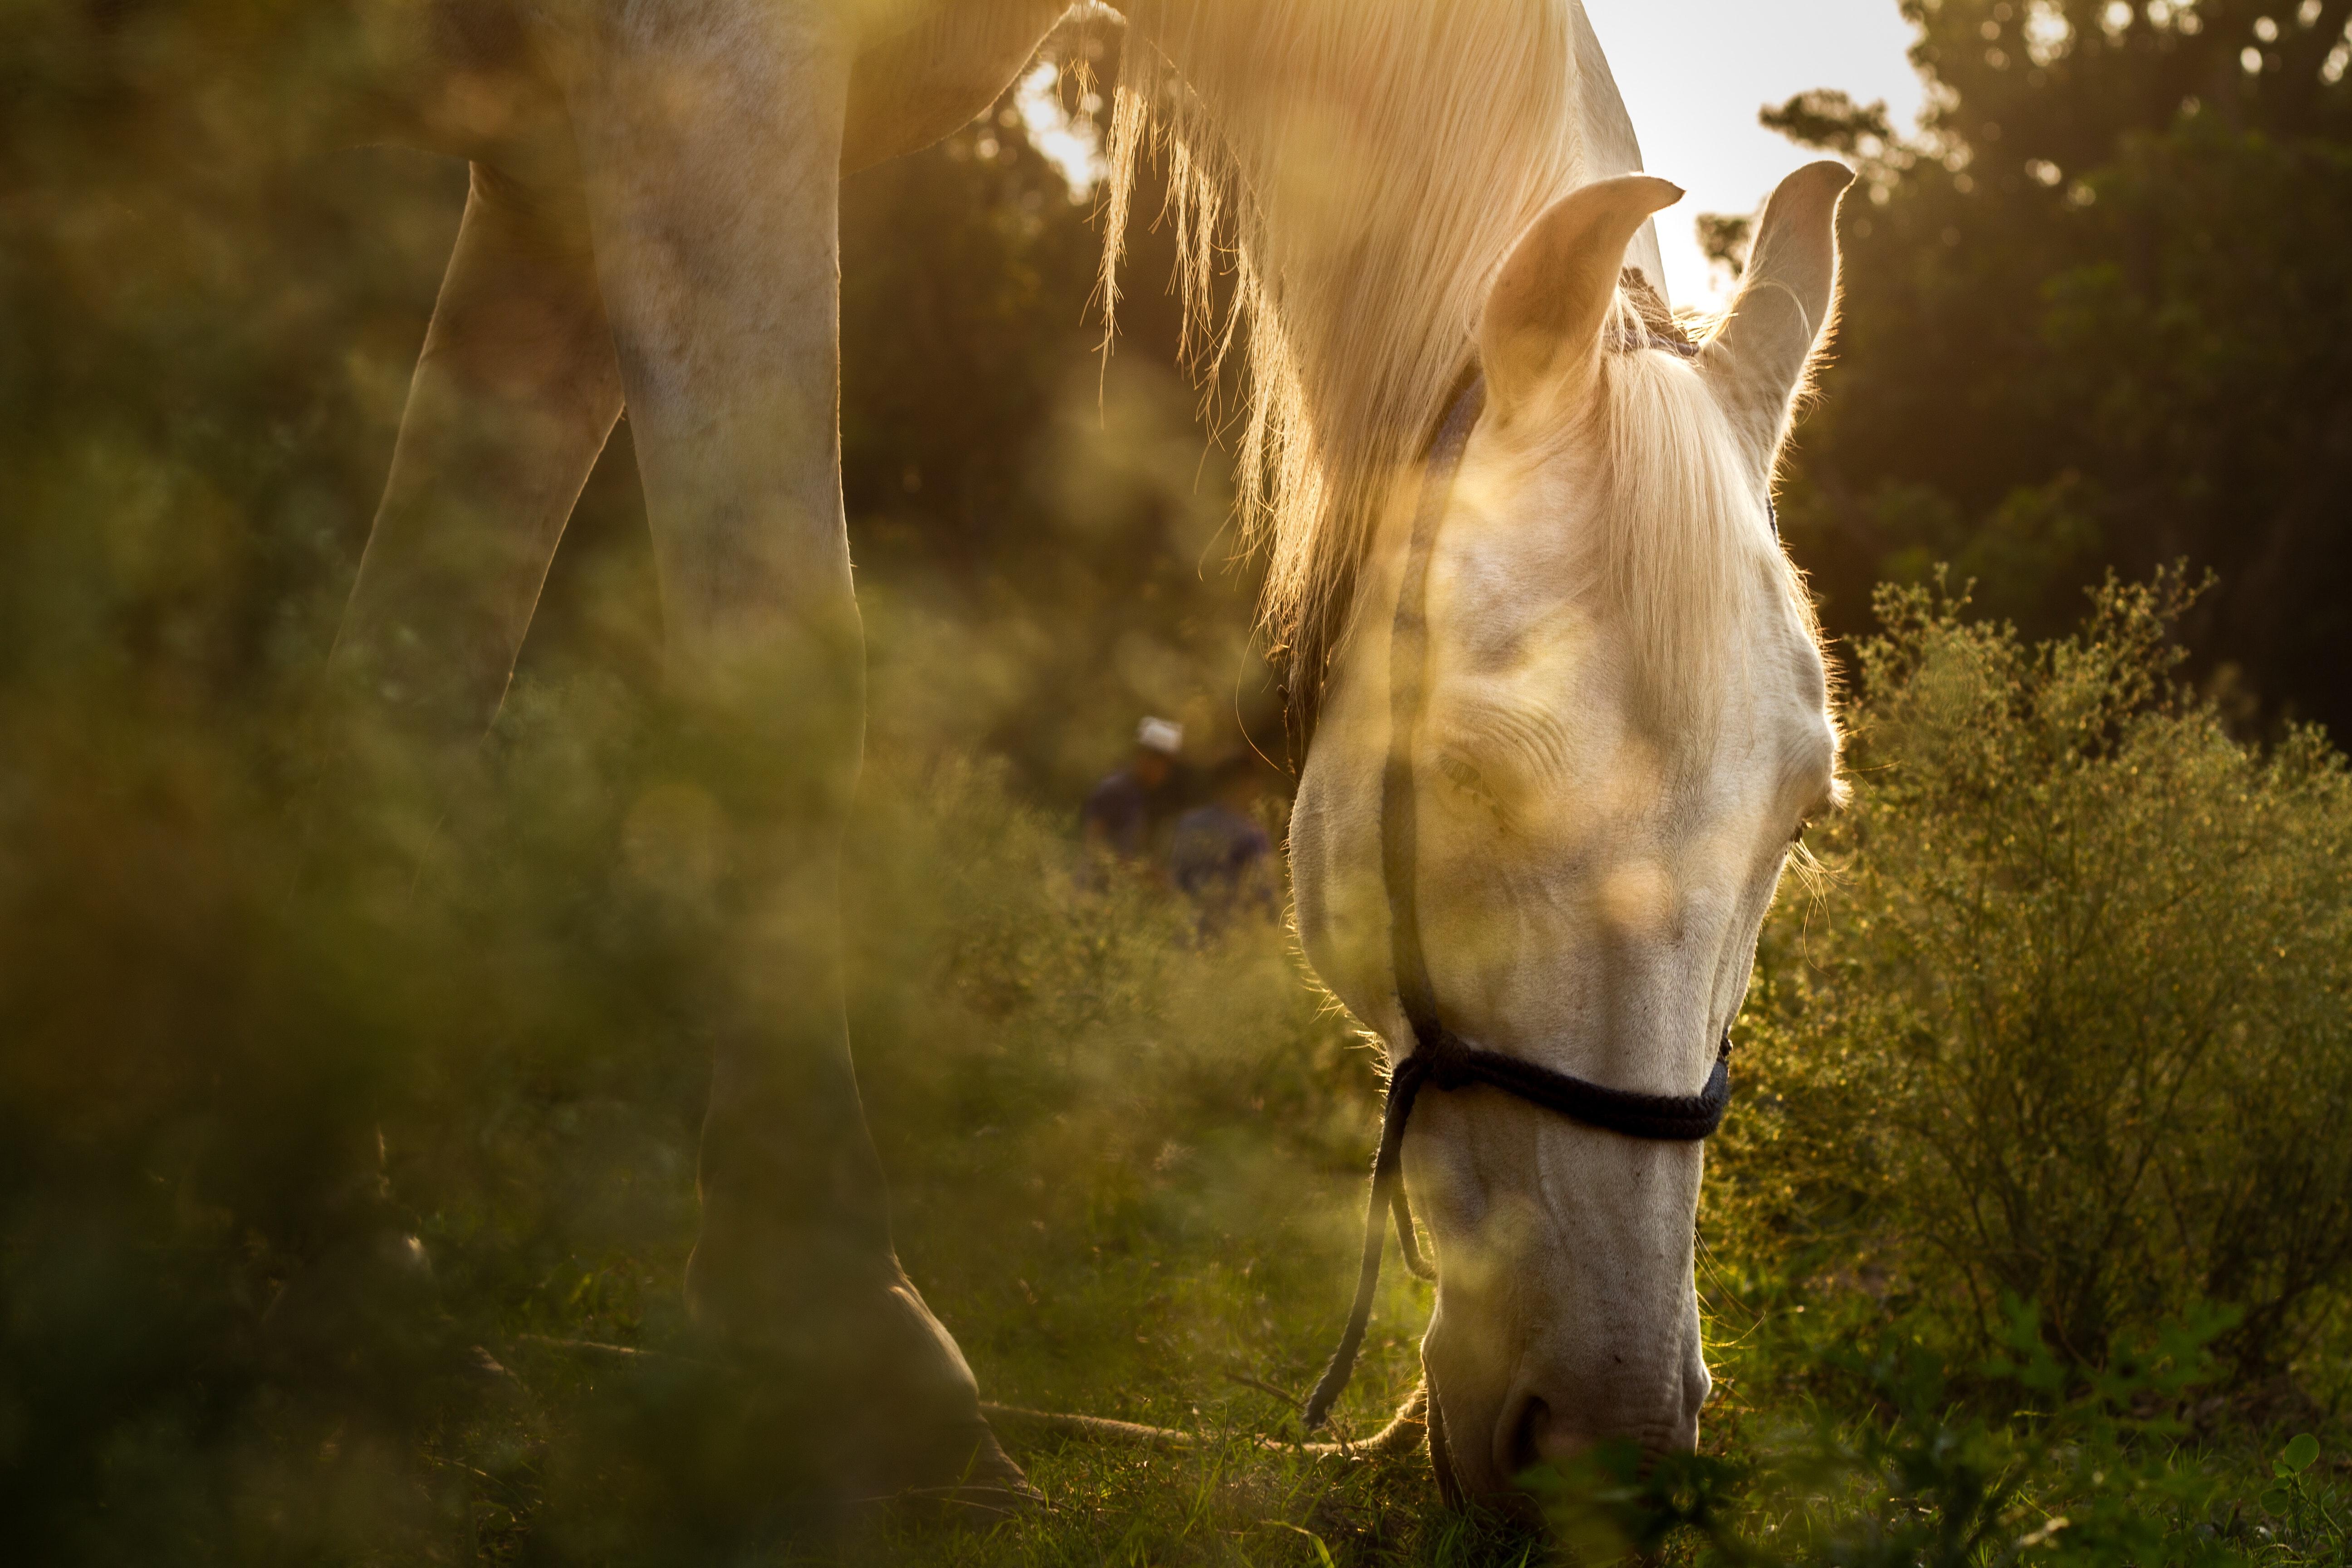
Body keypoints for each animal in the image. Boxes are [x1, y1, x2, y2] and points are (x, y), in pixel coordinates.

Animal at [322, 0, 1844, 1504]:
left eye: (1801, 818)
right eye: (1471, 770)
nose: (1612, 1447)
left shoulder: (544, 186)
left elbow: (419, 668)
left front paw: (354, 1242)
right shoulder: (696, 85)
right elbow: (782, 685)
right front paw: (847, 1337)